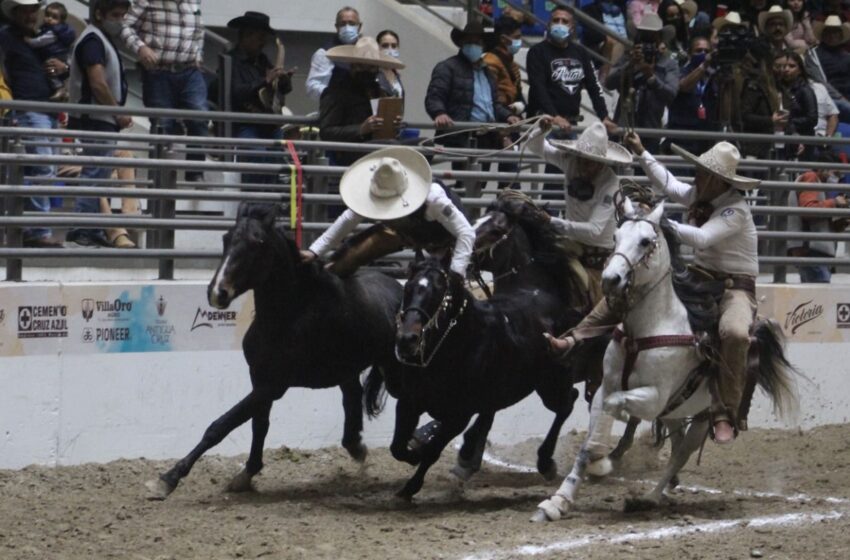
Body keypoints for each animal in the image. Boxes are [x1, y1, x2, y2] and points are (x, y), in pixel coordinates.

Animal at [146, 202, 404, 498]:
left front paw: (169, 478)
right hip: (346, 371)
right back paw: (356, 447)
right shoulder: (259, 377)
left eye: (257, 243)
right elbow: (259, 425)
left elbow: (222, 425)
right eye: (226, 238)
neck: (290, 315)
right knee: (352, 398)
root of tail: (398, 288)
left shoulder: (274, 385)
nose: (217, 292)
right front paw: (247, 473)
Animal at [368, 207, 588, 504]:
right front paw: (416, 457)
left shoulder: (458, 415)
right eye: (408, 288)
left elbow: (432, 451)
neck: (453, 345)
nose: (406, 339)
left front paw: (411, 485)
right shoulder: (410, 403)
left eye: (438, 291)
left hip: (552, 383)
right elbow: (398, 447)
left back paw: (545, 463)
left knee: (567, 403)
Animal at [532, 203, 800, 524]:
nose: (610, 279)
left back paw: (650, 497)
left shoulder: (654, 399)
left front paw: (603, 461)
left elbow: (614, 407)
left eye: (646, 241)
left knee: (680, 454)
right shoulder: (604, 387)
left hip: (703, 417)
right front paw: (558, 502)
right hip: (676, 410)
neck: (645, 330)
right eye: (615, 236)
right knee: (676, 443)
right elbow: (589, 440)